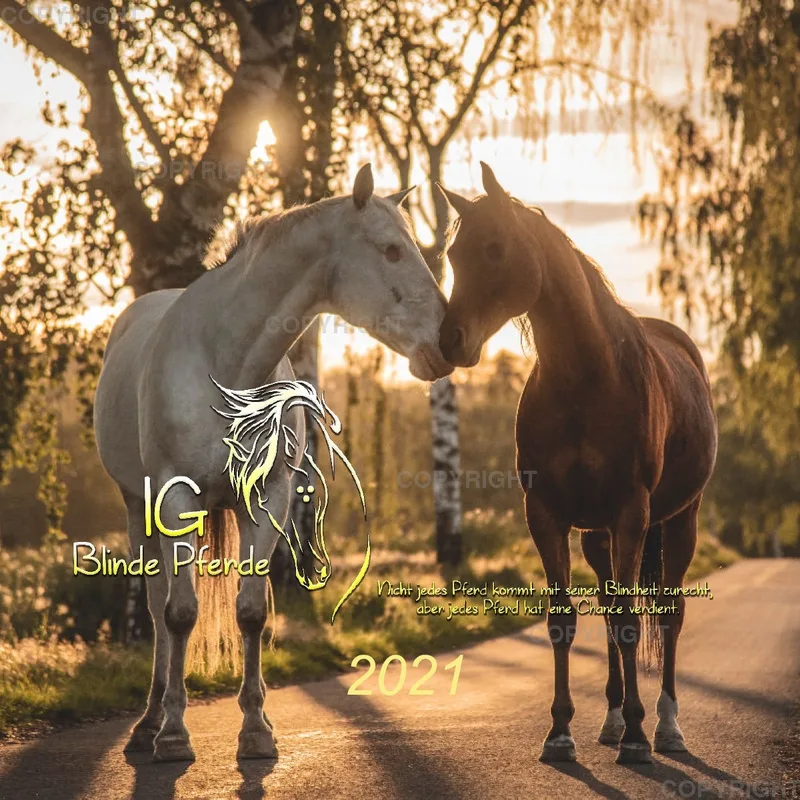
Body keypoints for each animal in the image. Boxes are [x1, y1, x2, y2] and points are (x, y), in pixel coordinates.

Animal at [93, 164, 453, 762]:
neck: (224, 362)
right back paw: (149, 724)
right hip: (136, 507)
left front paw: (256, 730)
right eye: (391, 250)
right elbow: (180, 614)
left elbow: (251, 612)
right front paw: (174, 735)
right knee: (158, 605)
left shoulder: (269, 500)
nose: (450, 343)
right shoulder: (174, 496)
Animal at [436, 163, 717, 765]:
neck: (587, 378)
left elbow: (632, 622)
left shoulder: (632, 513)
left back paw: (665, 725)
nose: (451, 341)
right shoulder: (546, 514)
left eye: (494, 248)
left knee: (668, 613)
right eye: (453, 254)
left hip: (679, 520)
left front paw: (637, 738)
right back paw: (611, 719)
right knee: (609, 607)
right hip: (596, 536)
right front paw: (561, 733)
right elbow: (565, 620)